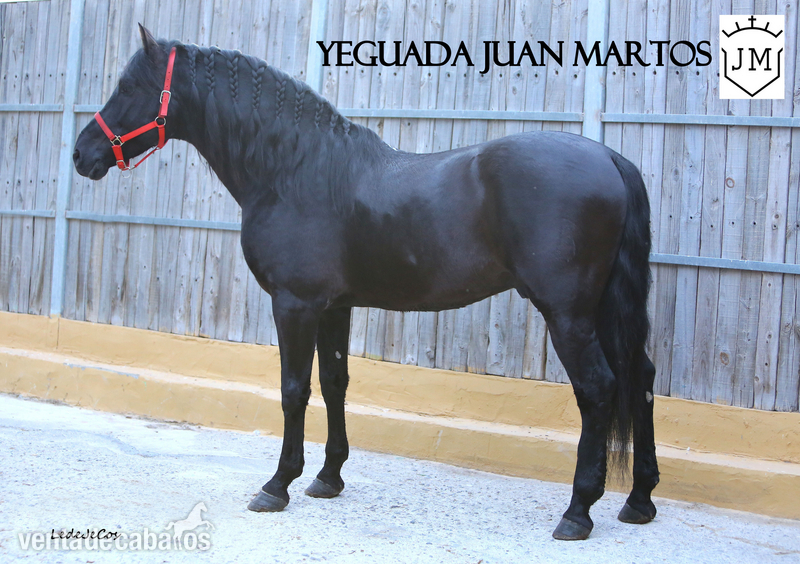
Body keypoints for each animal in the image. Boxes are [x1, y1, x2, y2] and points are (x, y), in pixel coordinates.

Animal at [73, 25, 660, 541]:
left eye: (130, 88)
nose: (82, 153)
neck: (295, 171)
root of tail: (610, 157)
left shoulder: (295, 306)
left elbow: (293, 390)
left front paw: (277, 485)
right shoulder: (334, 307)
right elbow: (335, 383)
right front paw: (328, 477)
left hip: (569, 316)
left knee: (599, 389)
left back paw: (578, 511)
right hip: (605, 310)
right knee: (641, 379)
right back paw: (639, 500)